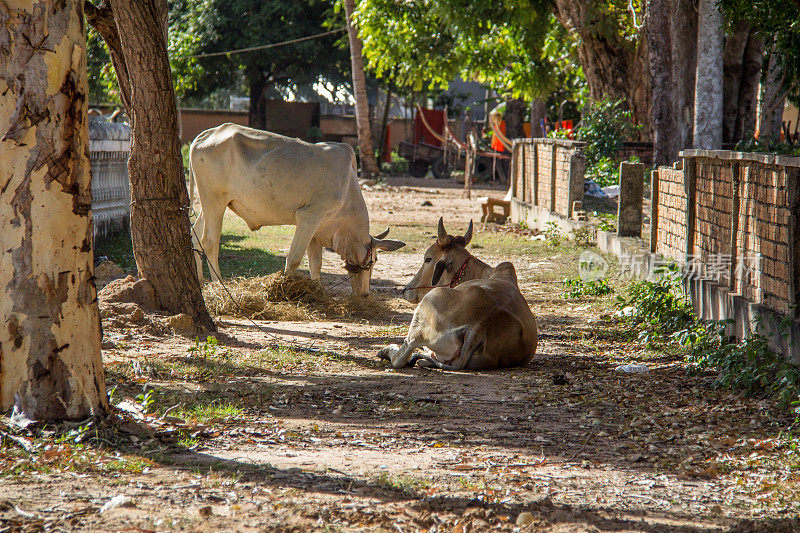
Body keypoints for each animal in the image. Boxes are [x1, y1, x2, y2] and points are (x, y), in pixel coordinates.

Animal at [189, 123, 406, 296]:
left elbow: (315, 264)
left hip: (210, 203)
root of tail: (207, 134)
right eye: (374, 260)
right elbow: (294, 259)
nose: (365, 294)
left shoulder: (317, 229)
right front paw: (282, 289)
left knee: (195, 236)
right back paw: (219, 284)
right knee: (210, 242)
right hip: (215, 201)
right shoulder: (309, 216)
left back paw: (200, 281)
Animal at [378, 217, 540, 370]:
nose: (405, 290)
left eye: (428, 259)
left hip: (425, 309)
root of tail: (478, 328)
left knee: (403, 353)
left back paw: (387, 351)